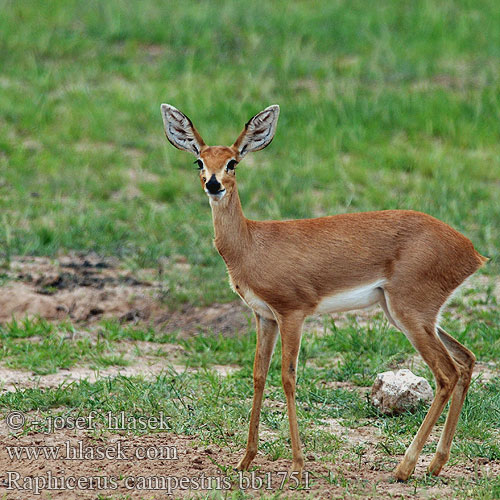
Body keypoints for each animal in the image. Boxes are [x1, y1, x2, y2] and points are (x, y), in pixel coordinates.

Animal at [161, 101, 488, 480]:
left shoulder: (292, 313)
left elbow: (288, 378)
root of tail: (471, 251)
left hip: (410, 314)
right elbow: (258, 376)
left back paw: (403, 468)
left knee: (446, 374)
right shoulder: (264, 317)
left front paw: (298, 465)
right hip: (411, 314)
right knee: (466, 360)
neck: (251, 244)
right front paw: (244, 460)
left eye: (232, 162)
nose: (214, 185)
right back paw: (435, 465)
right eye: (199, 161)